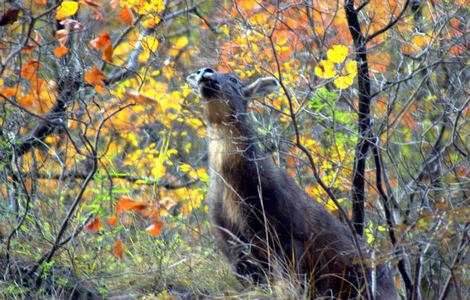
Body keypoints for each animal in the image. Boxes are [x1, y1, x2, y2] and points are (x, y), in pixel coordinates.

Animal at [186, 68, 396, 300]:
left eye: (234, 80)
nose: (204, 71)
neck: (234, 187)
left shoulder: (289, 230)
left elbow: (293, 280)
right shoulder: (229, 239)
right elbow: (250, 280)